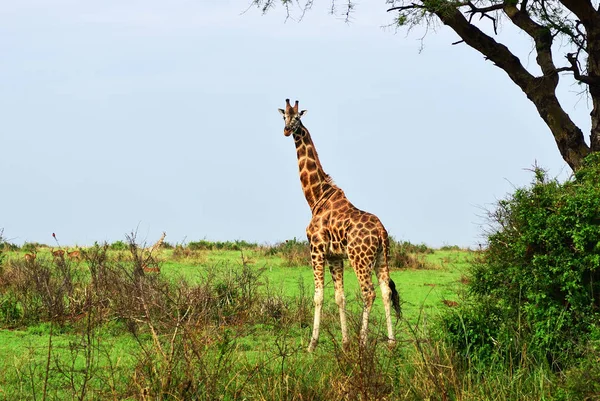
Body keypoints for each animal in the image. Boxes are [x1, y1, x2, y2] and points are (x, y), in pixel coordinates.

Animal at [278, 97, 400, 350]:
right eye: (284, 116)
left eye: (297, 118)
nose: (286, 130)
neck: (316, 197)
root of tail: (381, 232)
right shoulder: (335, 256)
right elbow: (339, 297)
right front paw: (344, 342)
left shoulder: (316, 248)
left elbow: (318, 296)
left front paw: (312, 344)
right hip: (382, 258)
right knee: (385, 291)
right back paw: (391, 342)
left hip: (360, 258)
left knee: (369, 293)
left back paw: (363, 342)